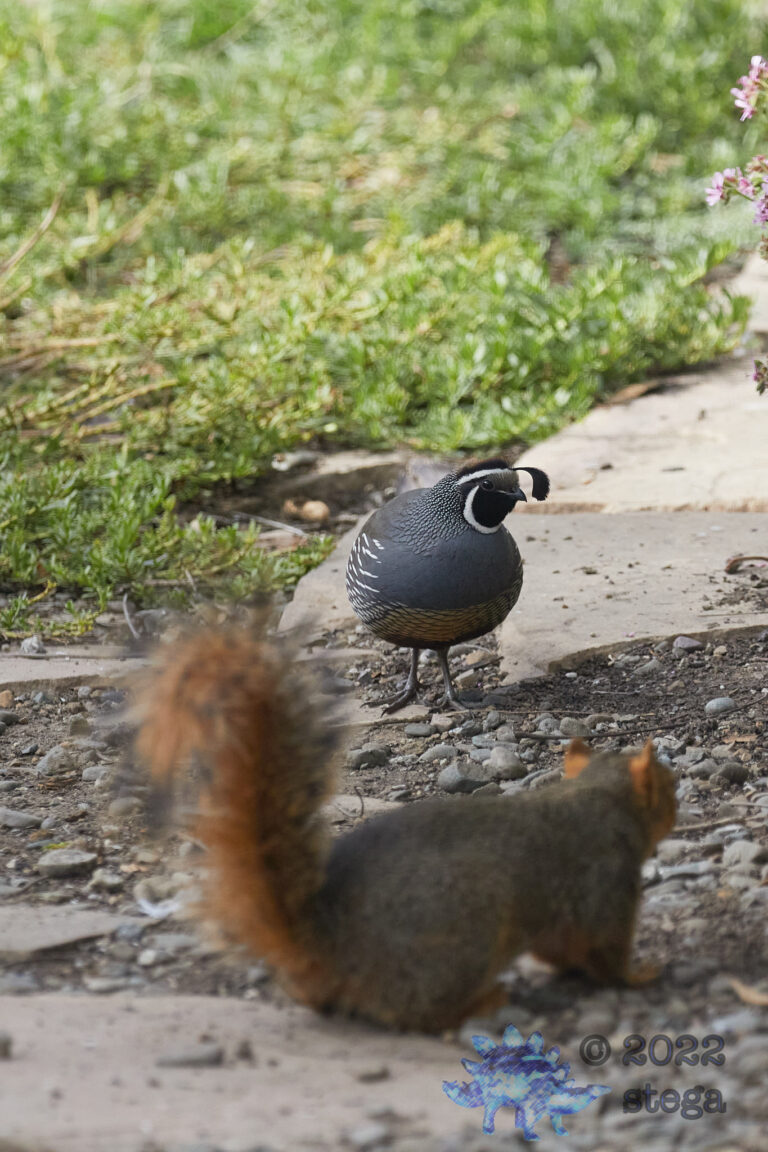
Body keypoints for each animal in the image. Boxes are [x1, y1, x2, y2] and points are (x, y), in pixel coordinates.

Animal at [135, 626, 677, 1033]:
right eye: (668, 786)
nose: (678, 807)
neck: (596, 798)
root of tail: (323, 948)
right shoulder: (606, 880)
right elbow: (606, 953)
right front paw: (643, 974)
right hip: (465, 934)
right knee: (422, 1014)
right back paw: (485, 1001)